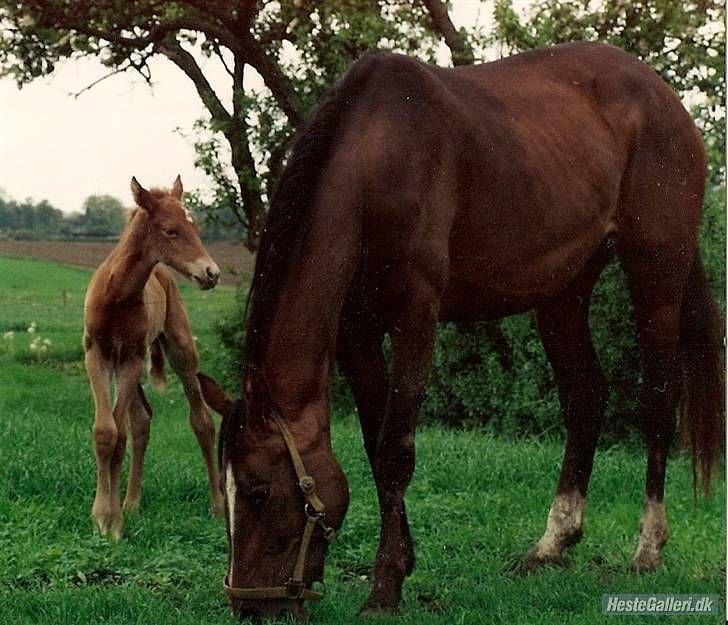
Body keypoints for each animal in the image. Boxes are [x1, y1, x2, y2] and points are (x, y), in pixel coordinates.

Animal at [84, 174, 223, 536]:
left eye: (196, 227)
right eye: (171, 230)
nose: (211, 273)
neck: (117, 296)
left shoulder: (133, 357)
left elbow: (117, 437)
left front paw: (111, 521)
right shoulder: (96, 355)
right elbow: (106, 432)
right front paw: (104, 516)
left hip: (180, 351)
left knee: (202, 421)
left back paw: (218, 506)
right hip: (122, 365)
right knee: (141, 421)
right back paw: (131, 504)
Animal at [198, 44, 724, 620]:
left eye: (256, 491)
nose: (251, 607)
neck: (377, 158)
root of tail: (664, 97)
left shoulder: (416, 316)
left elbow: (395, 451)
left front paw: (385, 588)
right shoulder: (356, 333)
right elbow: (374, 445)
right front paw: (402, 563)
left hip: (656, 273)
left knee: (658, 402)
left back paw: (647, 548)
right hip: (563, 292)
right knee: (586, 398)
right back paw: (551, 544)